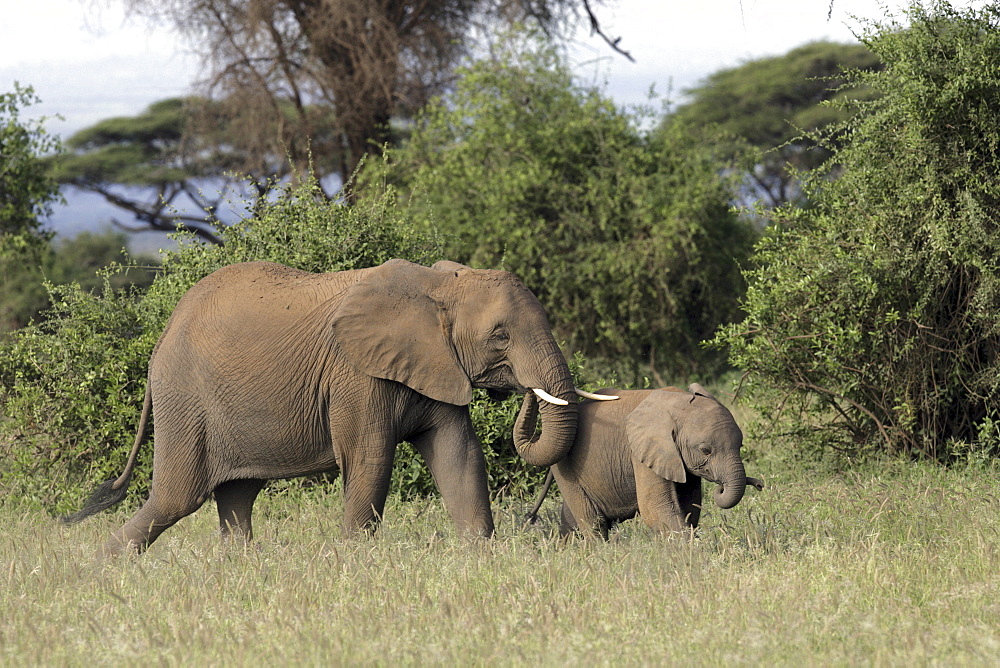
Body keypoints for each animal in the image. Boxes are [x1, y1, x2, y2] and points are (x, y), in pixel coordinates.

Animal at [66, 258, 608, 556]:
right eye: (500, 336)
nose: (527, 395)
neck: (440, 285)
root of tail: (161, 338)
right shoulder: (356, 375)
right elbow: (371, 459)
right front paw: (356, 565)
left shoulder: (435, 363)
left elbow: (459, 456)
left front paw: (480, 557)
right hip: (186, 400)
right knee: (176, 498)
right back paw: (100, 572)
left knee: (236, 498)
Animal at [520, 384, 760, 540]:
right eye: (705, 450)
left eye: (740, 445)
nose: (759, 484)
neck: (679, 403)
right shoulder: (644, 450)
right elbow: (656, 509)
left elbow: (689, 509)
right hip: (565, 468)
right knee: (593, 522)